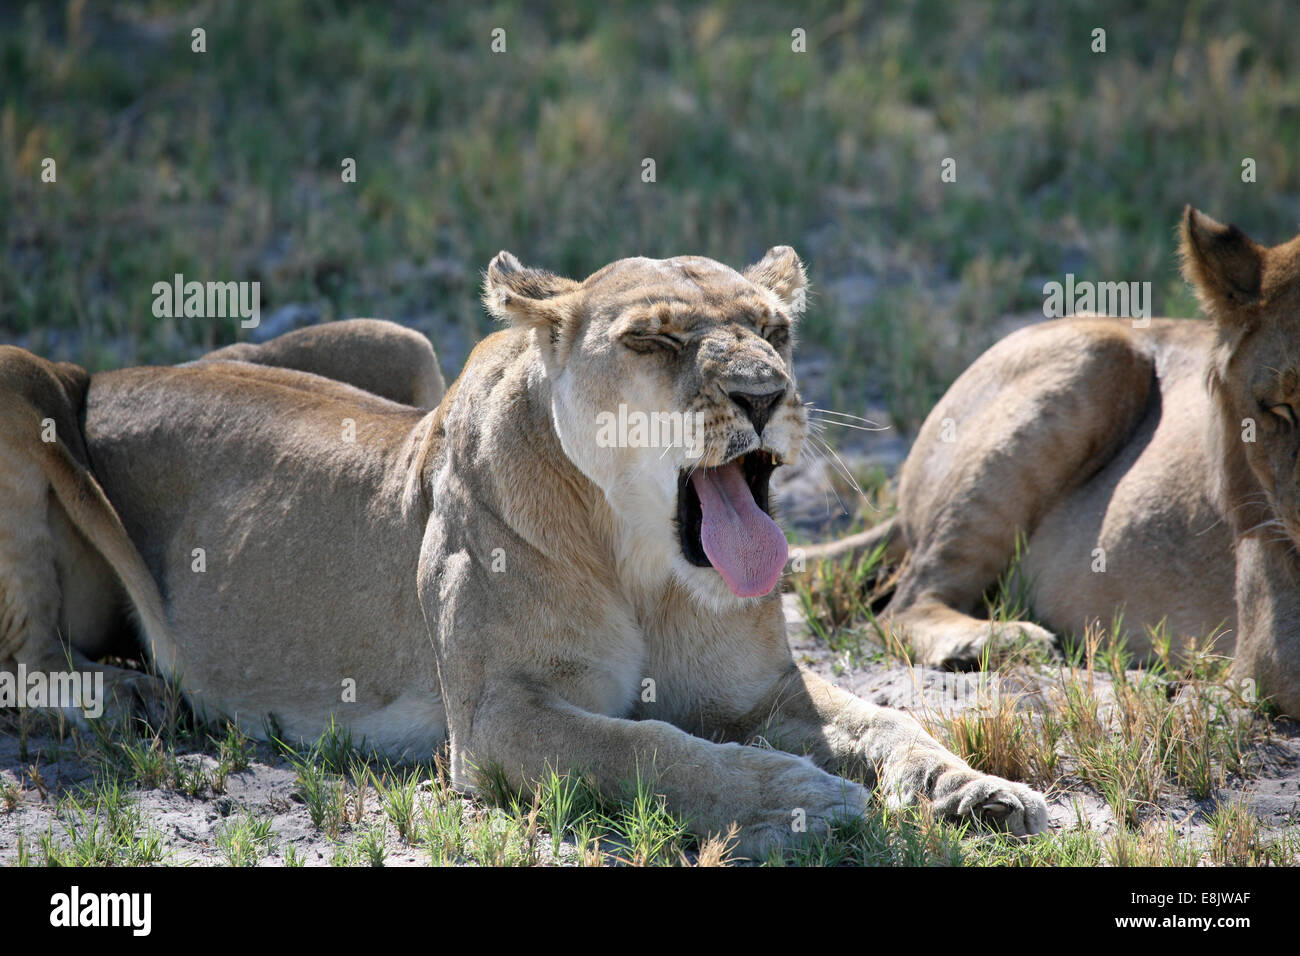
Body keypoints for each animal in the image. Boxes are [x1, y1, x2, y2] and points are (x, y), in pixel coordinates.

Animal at [0, 244, 1045, 853]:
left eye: (775, 330)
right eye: (656, 341)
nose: (764, 393)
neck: (645, 564)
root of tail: (105, 369)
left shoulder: (764, 693)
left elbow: (892, 725)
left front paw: (981, 792)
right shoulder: (498, 718)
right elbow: (653, 751)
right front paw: (801, 797)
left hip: (398, 338)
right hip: (22, 384)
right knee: (28, 658)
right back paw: (130, 695)